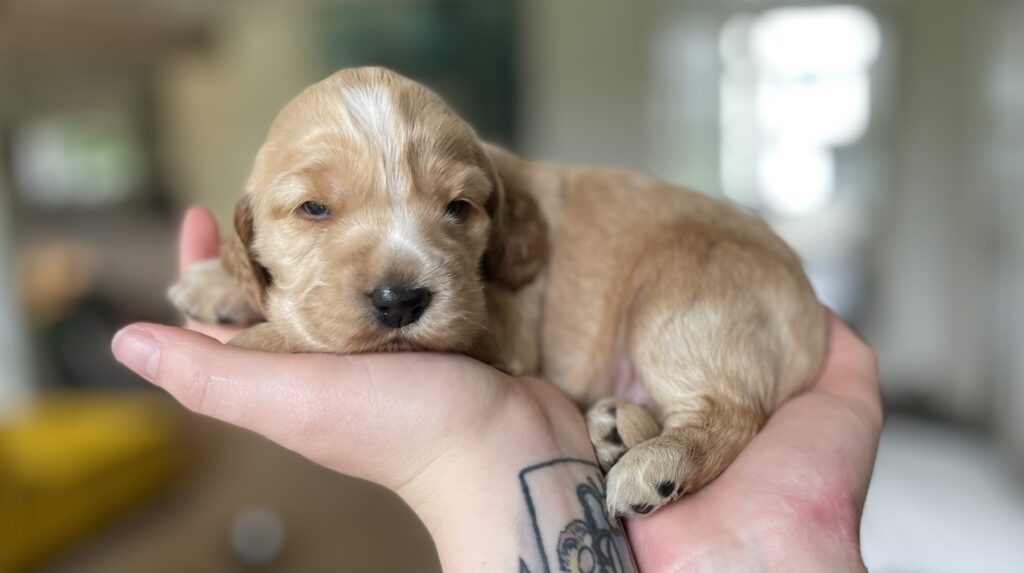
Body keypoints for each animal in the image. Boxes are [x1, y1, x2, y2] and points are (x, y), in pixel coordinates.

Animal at [167, 68, 823, 519]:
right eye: (314, 209)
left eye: (458, 208)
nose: (400, 301)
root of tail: (813, 311)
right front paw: (216, 279)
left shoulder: (501, 323)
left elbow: (314, 330)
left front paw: (259, 333)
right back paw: (611, 430)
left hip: (684, 299)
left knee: (730, 412)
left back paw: (651, 467)